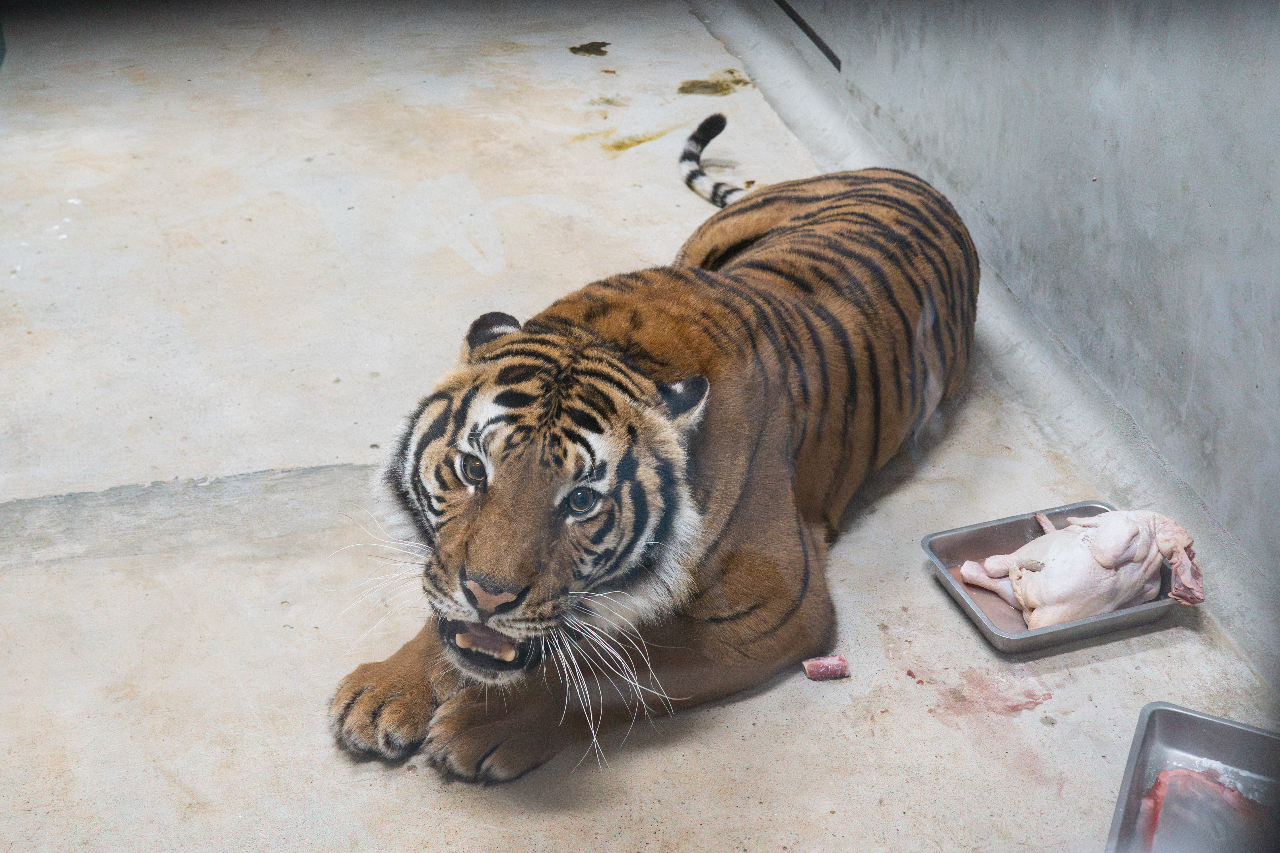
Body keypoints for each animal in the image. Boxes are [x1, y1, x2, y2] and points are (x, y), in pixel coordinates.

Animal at [330, 113, 979, 783]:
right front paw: (388, 688)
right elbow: (444, 603)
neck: (614, 342)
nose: (488, 596)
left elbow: (612, 668)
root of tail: (910, 177)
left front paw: (481, 723)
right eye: (471, 469)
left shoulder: (777, 605)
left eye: (582, 501)